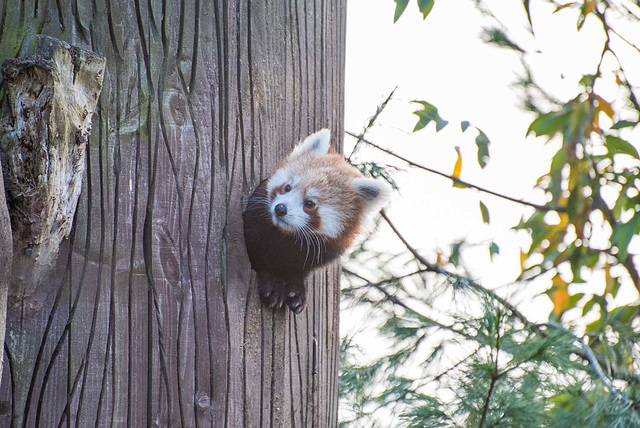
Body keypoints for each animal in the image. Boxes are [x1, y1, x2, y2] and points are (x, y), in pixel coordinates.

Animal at [242, 129, 388, 312]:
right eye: (287, 187)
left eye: (309, 204)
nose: (280, 209)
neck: (284, 239)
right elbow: (259, 261)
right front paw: (272, 284)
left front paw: (296, 290)